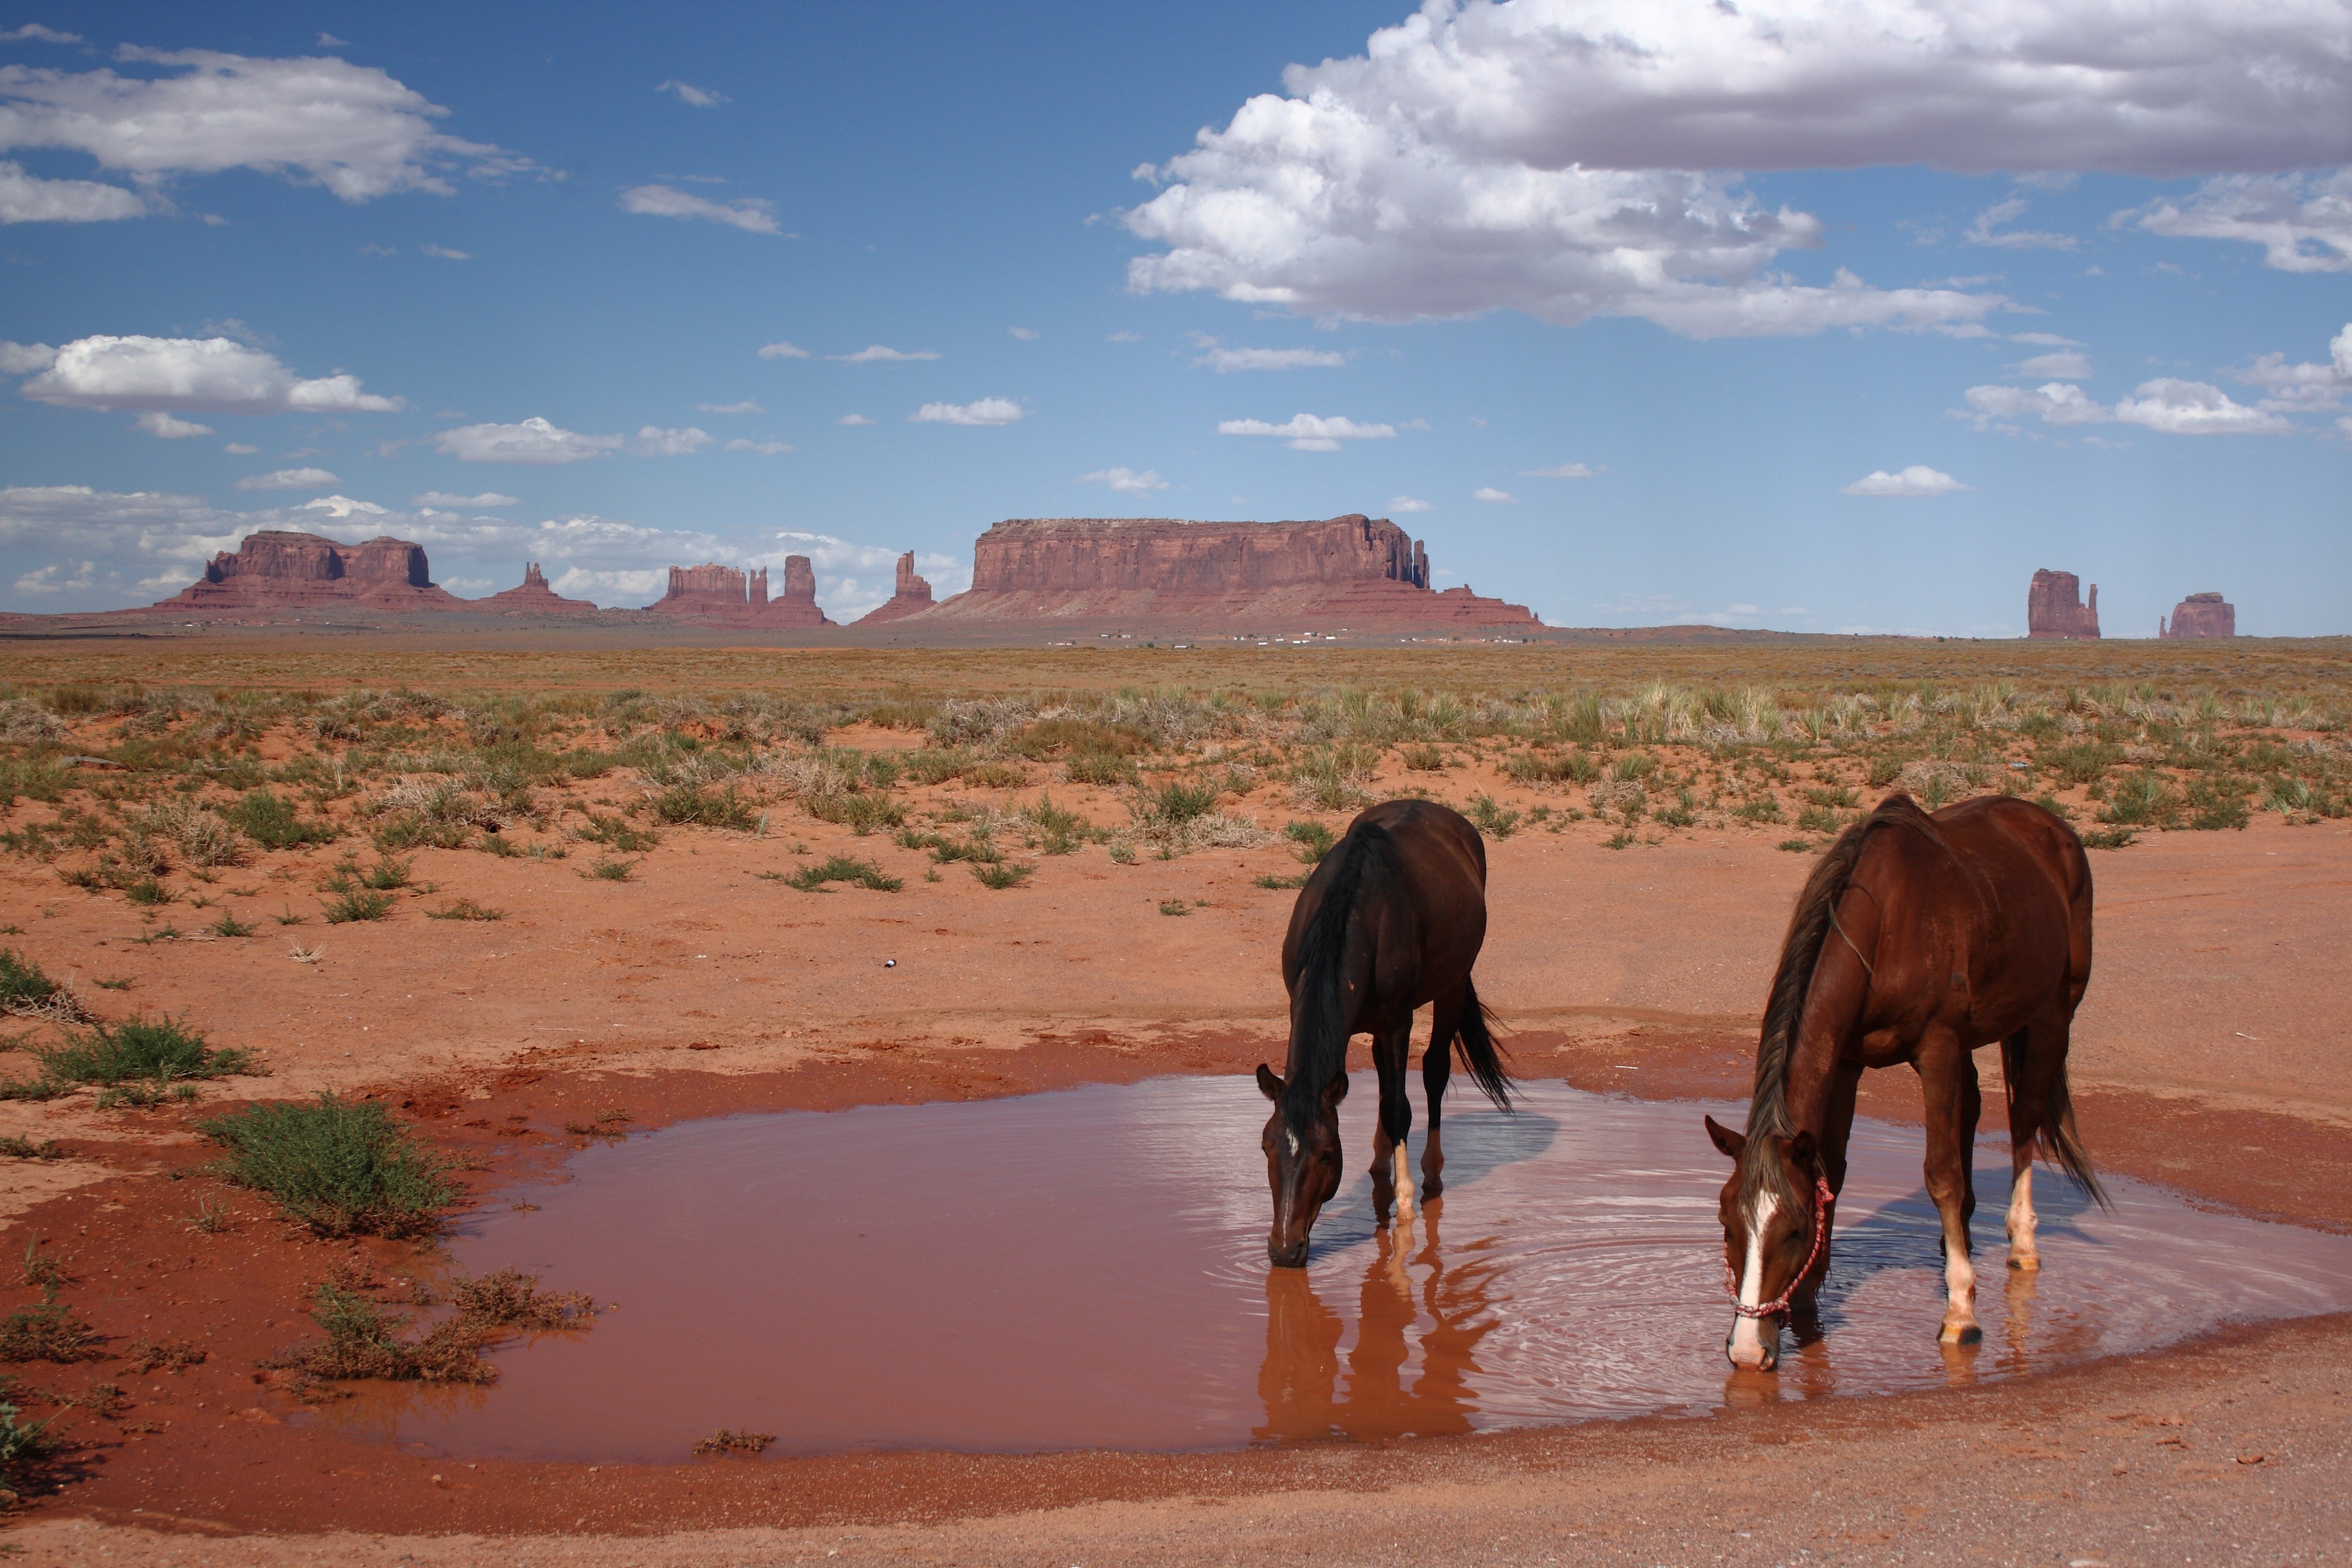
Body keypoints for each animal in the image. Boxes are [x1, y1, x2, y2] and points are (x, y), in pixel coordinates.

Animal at [1256, 799, 1513, 1268]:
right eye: (1267, 1148)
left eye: (1326, 1155)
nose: (1285, 1250)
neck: (1356, 917)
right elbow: (1384, 1095)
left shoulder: (1397, 1022)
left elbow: (1399, 1107)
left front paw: (1406, 1204)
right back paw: (1380, 1161)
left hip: (1451, 986)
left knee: (1433, 1072)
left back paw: (1429, 1169)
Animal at [1705, 791, 2104, 1370]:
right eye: (1727, 1224)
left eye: (1795, 1230)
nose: (1748, 1351)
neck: (1885, 928)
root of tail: (2053, 826)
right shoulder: (1847, 1061)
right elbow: (1834, 1169)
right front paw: (1808, 1299)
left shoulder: (1935, 1049)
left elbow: (1941, 1173)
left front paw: (1961, 1312)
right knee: (1975, 1109)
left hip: (2053, 1013)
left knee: (2024, 1117)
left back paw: (2020, 1244)